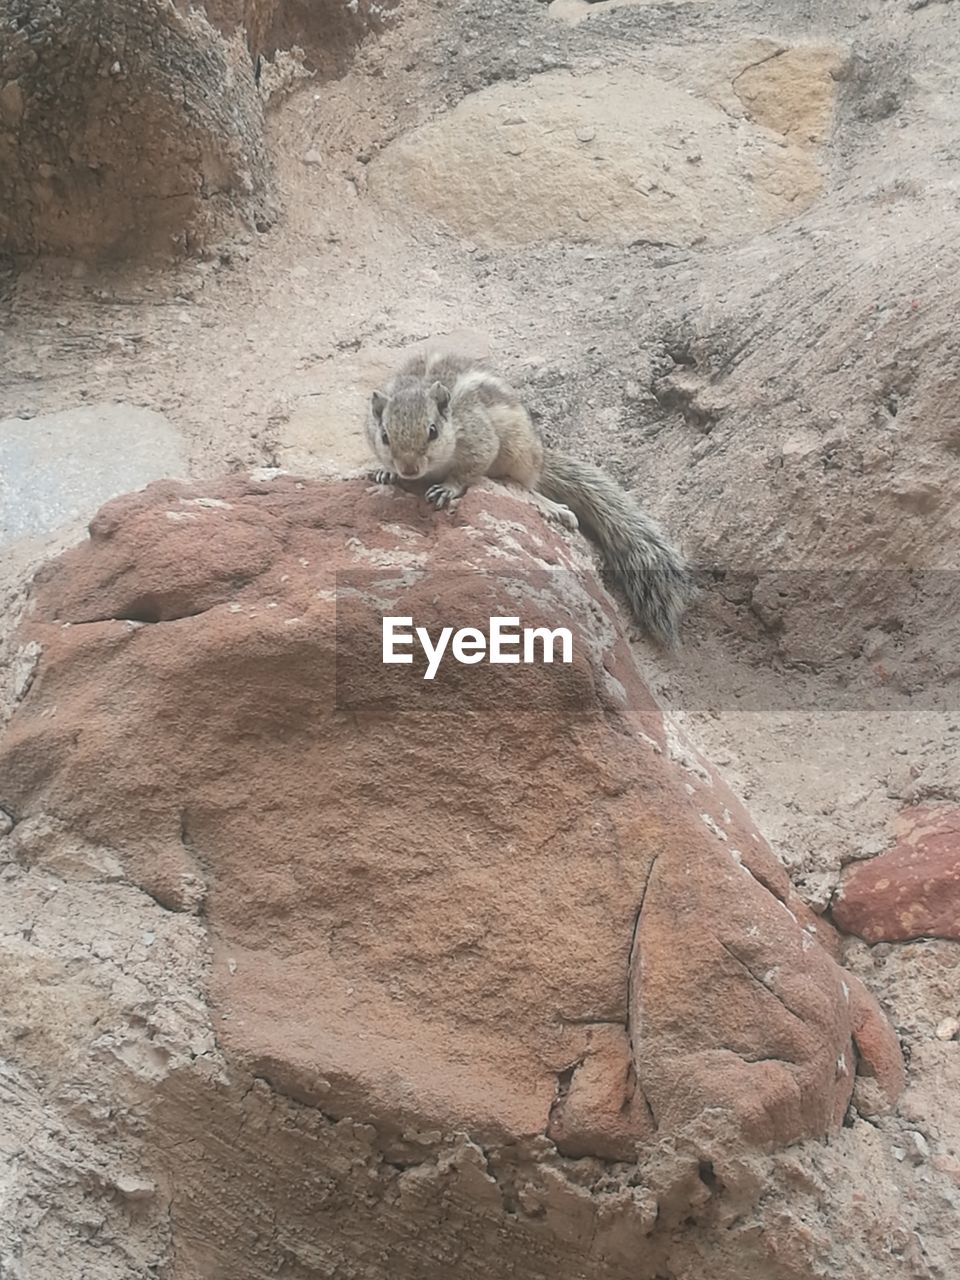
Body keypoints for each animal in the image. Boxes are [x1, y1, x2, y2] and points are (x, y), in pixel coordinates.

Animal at [366, 348, 691, 645]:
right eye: (385, 436)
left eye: (432, 431)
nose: (409, 469)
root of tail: (541, 457)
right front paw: (385, 472)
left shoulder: (479, 442)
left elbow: (467, 471)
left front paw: (448, 487)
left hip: (519, 454)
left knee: (528, 486)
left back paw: (553, 507)